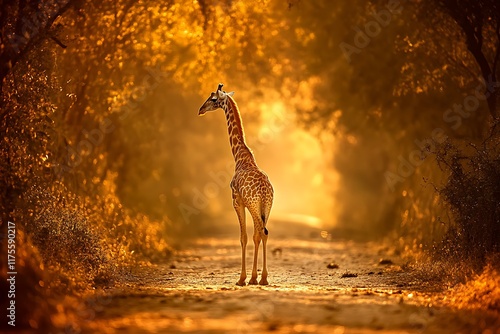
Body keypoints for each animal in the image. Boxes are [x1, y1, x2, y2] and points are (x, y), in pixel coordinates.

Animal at [198, 83, 274, 284]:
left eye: (213, 98)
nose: (200, 109)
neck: (240, 156)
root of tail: (265, 191)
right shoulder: (247, 204)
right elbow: (251, 235)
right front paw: (249, 277)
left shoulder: (237, 201)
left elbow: (243, 237)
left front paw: (242, 278)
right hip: (267, 206)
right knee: (263, 232)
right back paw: (262, 278)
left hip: (254, 205)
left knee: (259, 232)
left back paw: (258, 278)